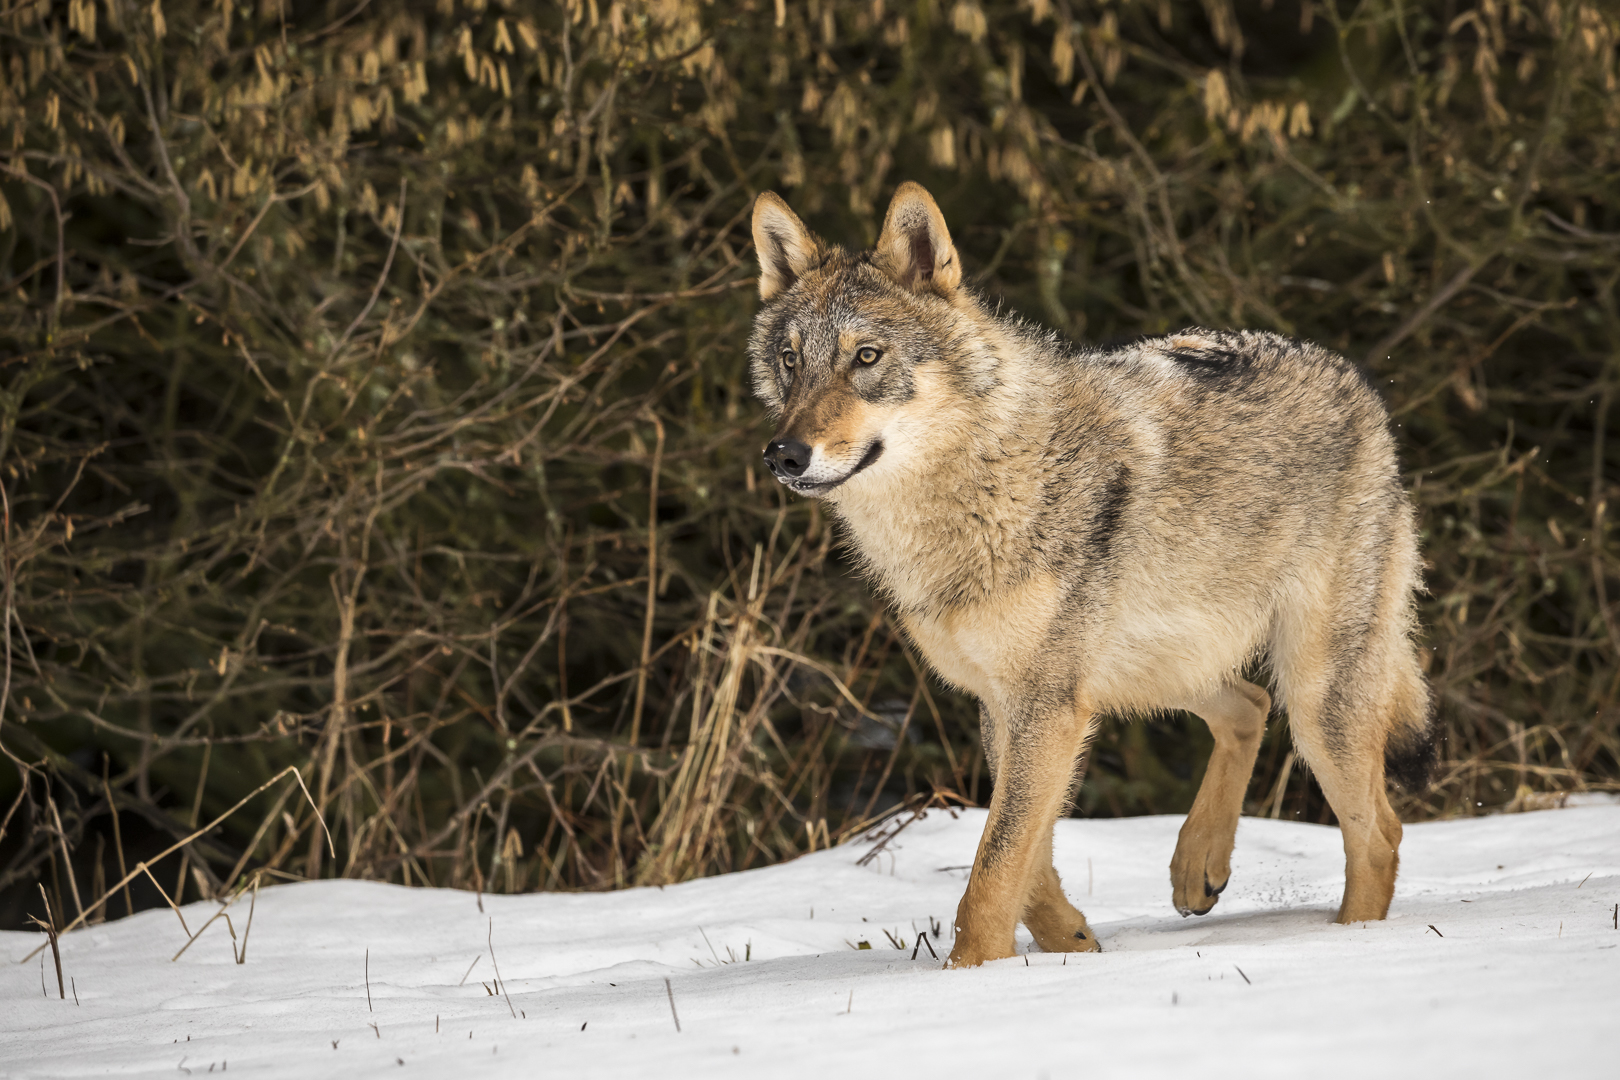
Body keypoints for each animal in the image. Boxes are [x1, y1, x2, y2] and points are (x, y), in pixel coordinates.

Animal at [741, 181, 1432, 965]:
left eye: (866, 356)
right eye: (790, 360)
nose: (784, 454)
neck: (978, 490)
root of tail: (1359, 387)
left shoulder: (1046, 704)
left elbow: (992, 872)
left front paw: (971, 973)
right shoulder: (1013, 703)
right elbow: (1022, 856)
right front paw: (1069, 940)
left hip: (1315, 700)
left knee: (1379, 833)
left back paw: (1351, 943)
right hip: (1154, 670)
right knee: (1249, 707)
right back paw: (1198, 866)